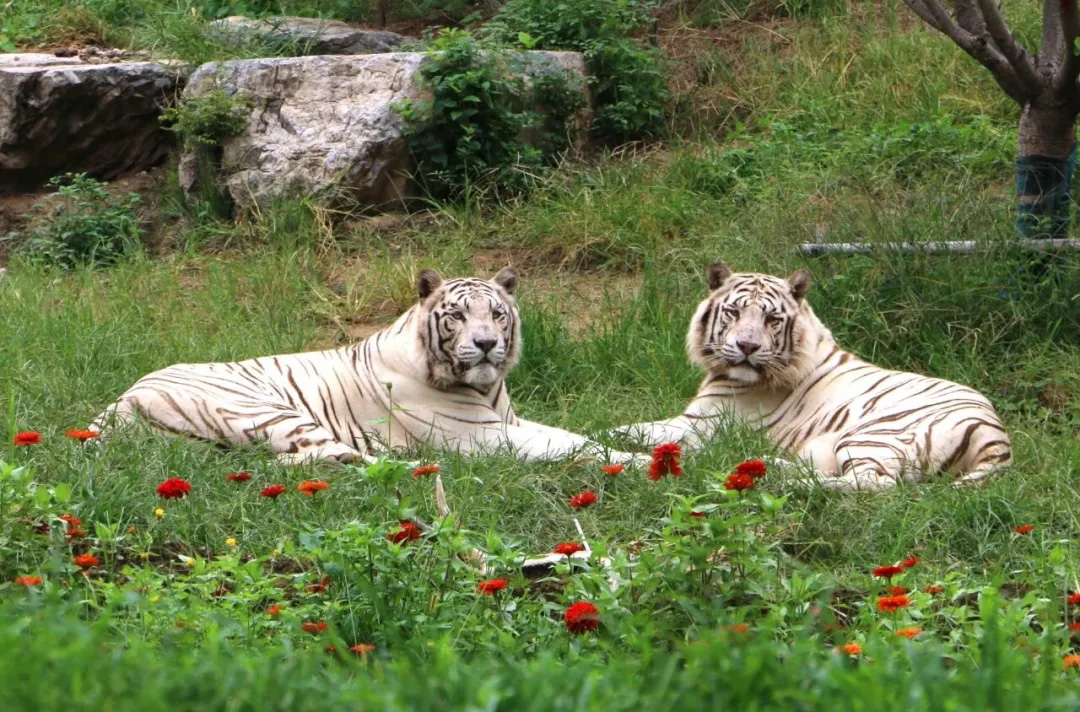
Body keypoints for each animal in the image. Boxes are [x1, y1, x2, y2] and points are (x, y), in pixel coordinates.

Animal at [90, 267, 647, 467]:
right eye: (457, 316)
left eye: (496, 314)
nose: (488, 344)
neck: (485, 387)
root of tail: (120, 399)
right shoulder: (484, 436)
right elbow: (570, 445)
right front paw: (641, 462)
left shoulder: (508, 421)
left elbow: (576, 433)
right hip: (266, 410)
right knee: (336, 459)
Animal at [608, 263, 1012, 491]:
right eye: (734, 313)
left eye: (771, 319)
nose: (747, 346)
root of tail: (996, 437)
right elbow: (631, 428)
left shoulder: (701, 426)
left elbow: (644, 433)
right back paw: (773, 468)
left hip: (875, 434)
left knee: (874, 484)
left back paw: (788, 482)